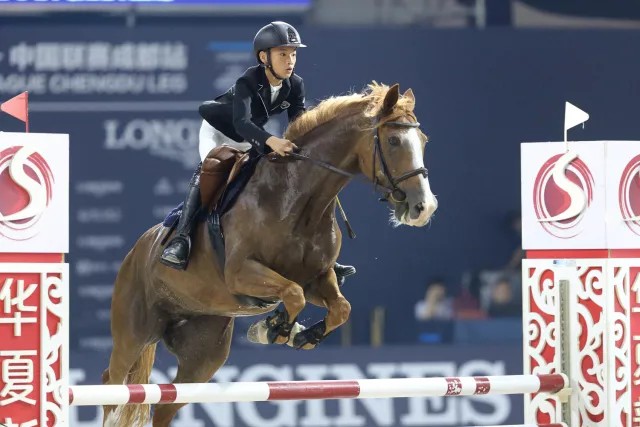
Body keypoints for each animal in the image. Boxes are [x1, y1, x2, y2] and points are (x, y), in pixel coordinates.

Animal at [102, 82, 438, 426]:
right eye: (393, 141)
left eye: (423, 141)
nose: (424, 208)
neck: (298, 199)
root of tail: (137, 250)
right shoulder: (241, 273)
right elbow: (292, 294)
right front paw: (275, 329)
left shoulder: (317, 277)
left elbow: (339, 307)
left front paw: (297, 334)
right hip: (133, 332)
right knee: (113, 384)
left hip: (203, 354)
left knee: (166, 404)